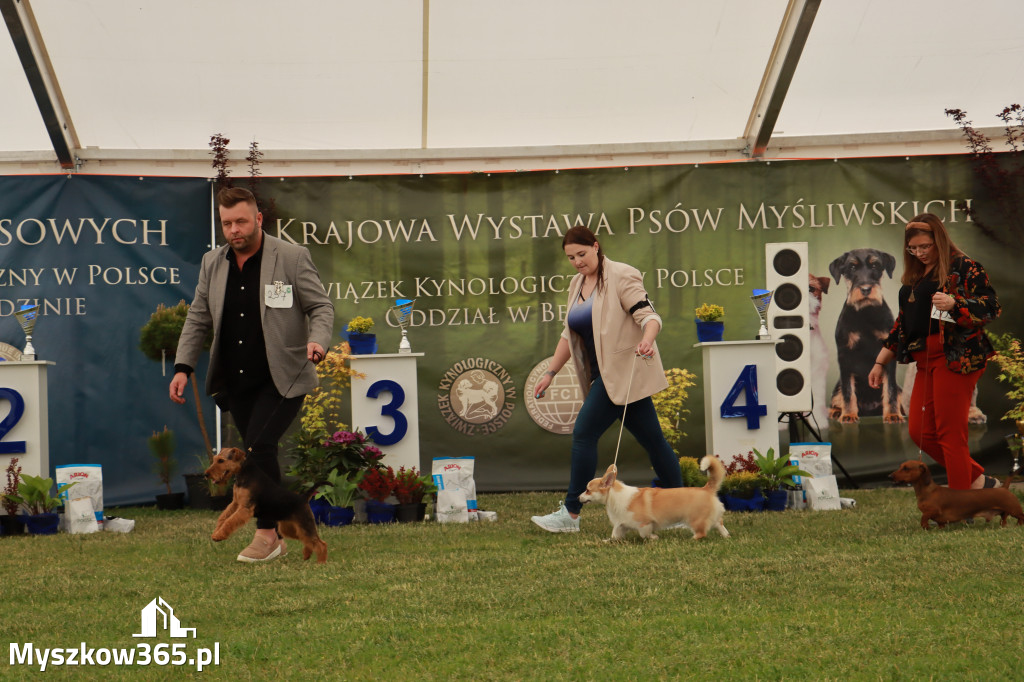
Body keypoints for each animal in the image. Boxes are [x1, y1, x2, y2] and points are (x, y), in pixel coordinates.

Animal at [581, 454, 733, 540]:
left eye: (587, 490)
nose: (578, 497)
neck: (614, 497)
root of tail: (706, 488)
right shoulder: (621, 525)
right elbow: (615, 535)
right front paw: (609, 541)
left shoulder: (644, 523)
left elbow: (644, 534)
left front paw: (654, 537)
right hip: (712, 517)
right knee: (719, 524)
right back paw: (726, 536)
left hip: (695, 519)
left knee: (702, 532)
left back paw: (692, 539)